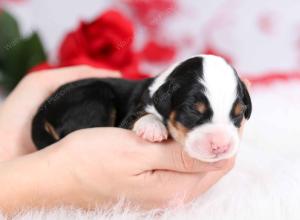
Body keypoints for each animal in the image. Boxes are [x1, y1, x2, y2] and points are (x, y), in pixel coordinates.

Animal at [31, 54, 251, 162]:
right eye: (193, 110)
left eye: (239, 114)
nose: (221, 146)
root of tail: (43, 110)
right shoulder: (131, 114)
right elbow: (141, 115)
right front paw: (153, 127)